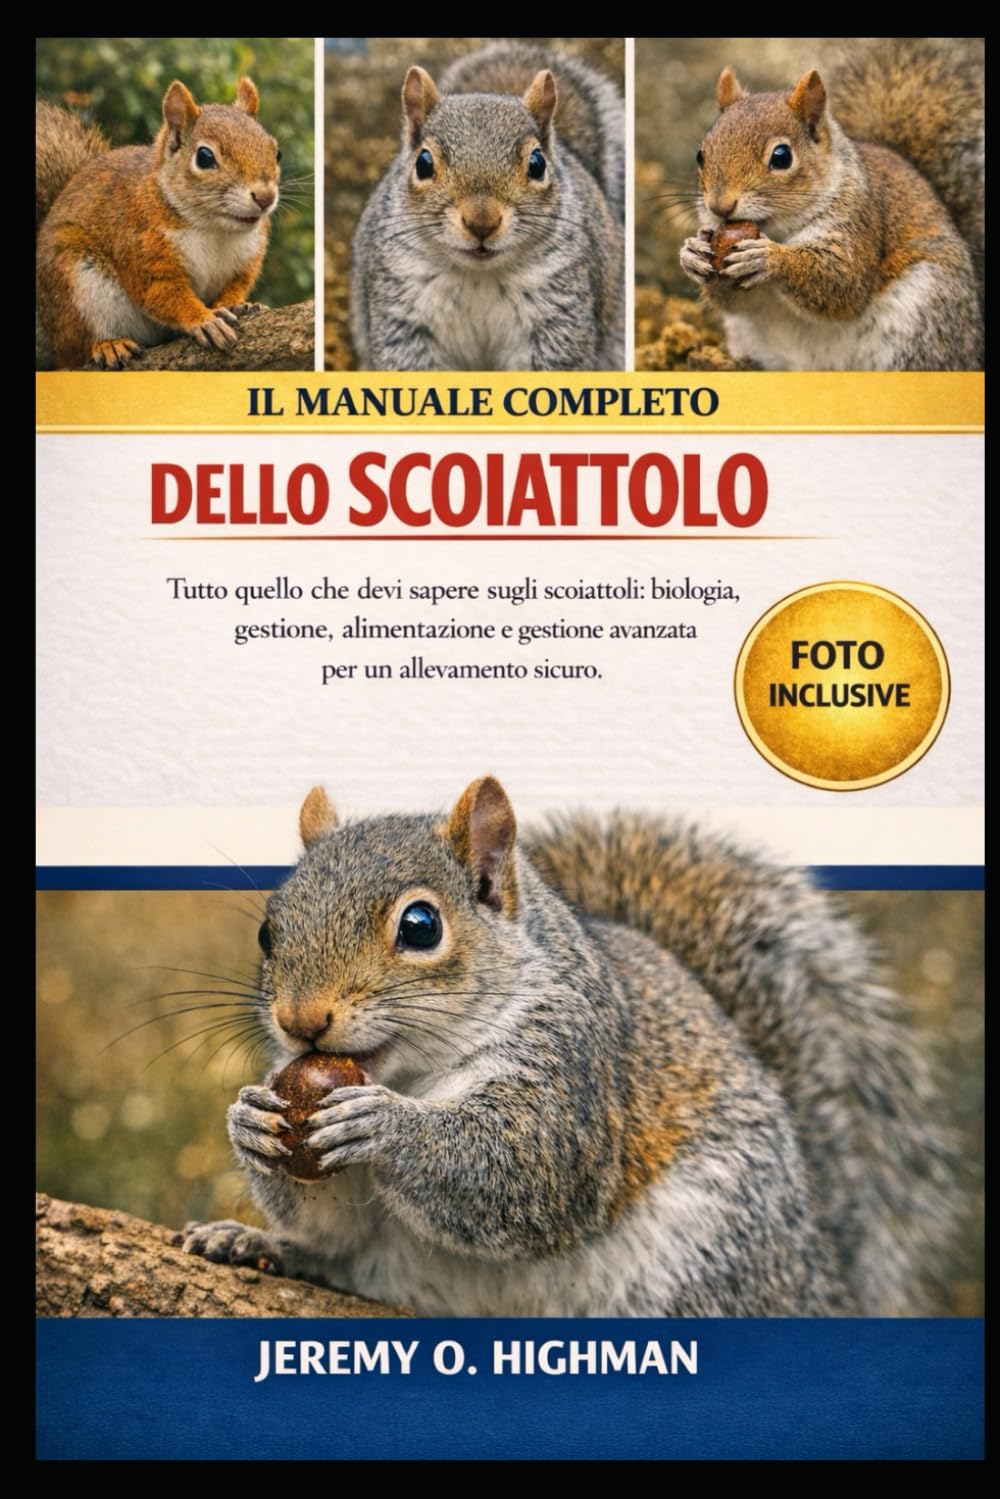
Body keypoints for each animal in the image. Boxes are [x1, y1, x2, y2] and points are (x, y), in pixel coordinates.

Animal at [35, 79, 280, 370]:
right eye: (204, 157)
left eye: (277, 152)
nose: (265, 198)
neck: (215, 227)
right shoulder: (140, 246)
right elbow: (162, 292)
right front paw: (203, 320)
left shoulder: (246, 259)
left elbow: (236, 285)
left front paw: (236, 305)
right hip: (75, 281)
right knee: (76, 352)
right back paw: (109, 345)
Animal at [183, 777, 953, 1317]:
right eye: (267, 932)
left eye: (422, 925)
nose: (301, 1019)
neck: (413, 1072)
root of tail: (816, 1272)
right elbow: (334, 1217)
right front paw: (250, 1120)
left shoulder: (572, 1070)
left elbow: (526, 1169)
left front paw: (386, 1126)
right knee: (337, 1259)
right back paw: (256, 1244)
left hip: (713, 1246)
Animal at [350, 42, 624, 372]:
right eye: (423, 163)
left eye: (537, 164)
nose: (482, 222)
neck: (479, 275)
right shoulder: (402, 308)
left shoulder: (559, 310)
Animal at [678, 39, 984, 371]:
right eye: (700, 155)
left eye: (782, 156)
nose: (719, 207)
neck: (779, 231)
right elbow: (738, 301)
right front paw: (691, 253)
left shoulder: (858, 222)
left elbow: (842, 281)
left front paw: (770, 259)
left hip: (924, 321)